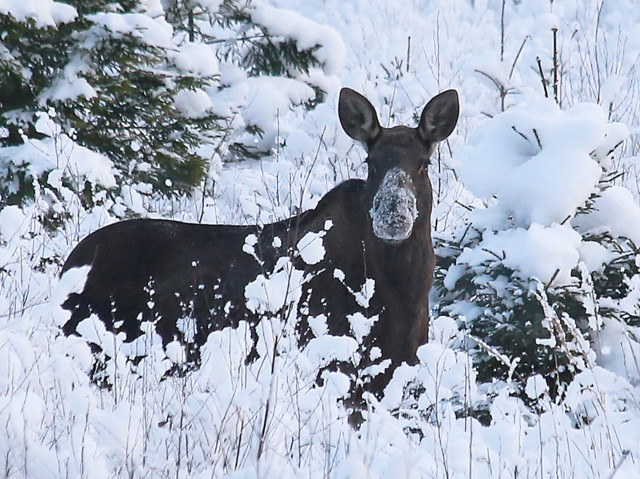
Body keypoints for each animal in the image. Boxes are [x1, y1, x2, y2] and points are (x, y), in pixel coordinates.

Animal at [60, 87, 458, 404]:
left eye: (424, 164)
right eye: (370, 163)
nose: (393, 216)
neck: (403, 292)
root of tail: (68, 268)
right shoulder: (334, 361)